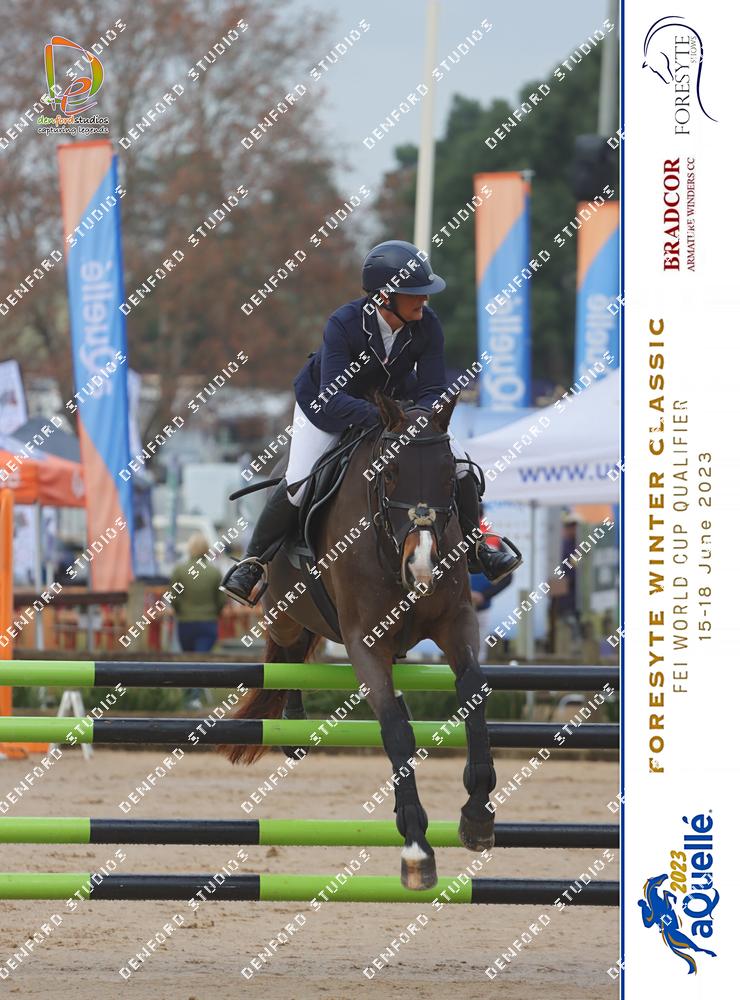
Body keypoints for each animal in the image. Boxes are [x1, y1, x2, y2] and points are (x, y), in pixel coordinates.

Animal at [219, 392, 497, 890]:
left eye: (451, 475)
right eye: (389, 472)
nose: (422, 566)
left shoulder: (457, 622)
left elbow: (473, 694)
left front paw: (478, 813)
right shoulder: (366, 642)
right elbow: (395, 730)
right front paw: (417, 849)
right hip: (286, 614)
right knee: (288, 652)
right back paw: (291, 721)